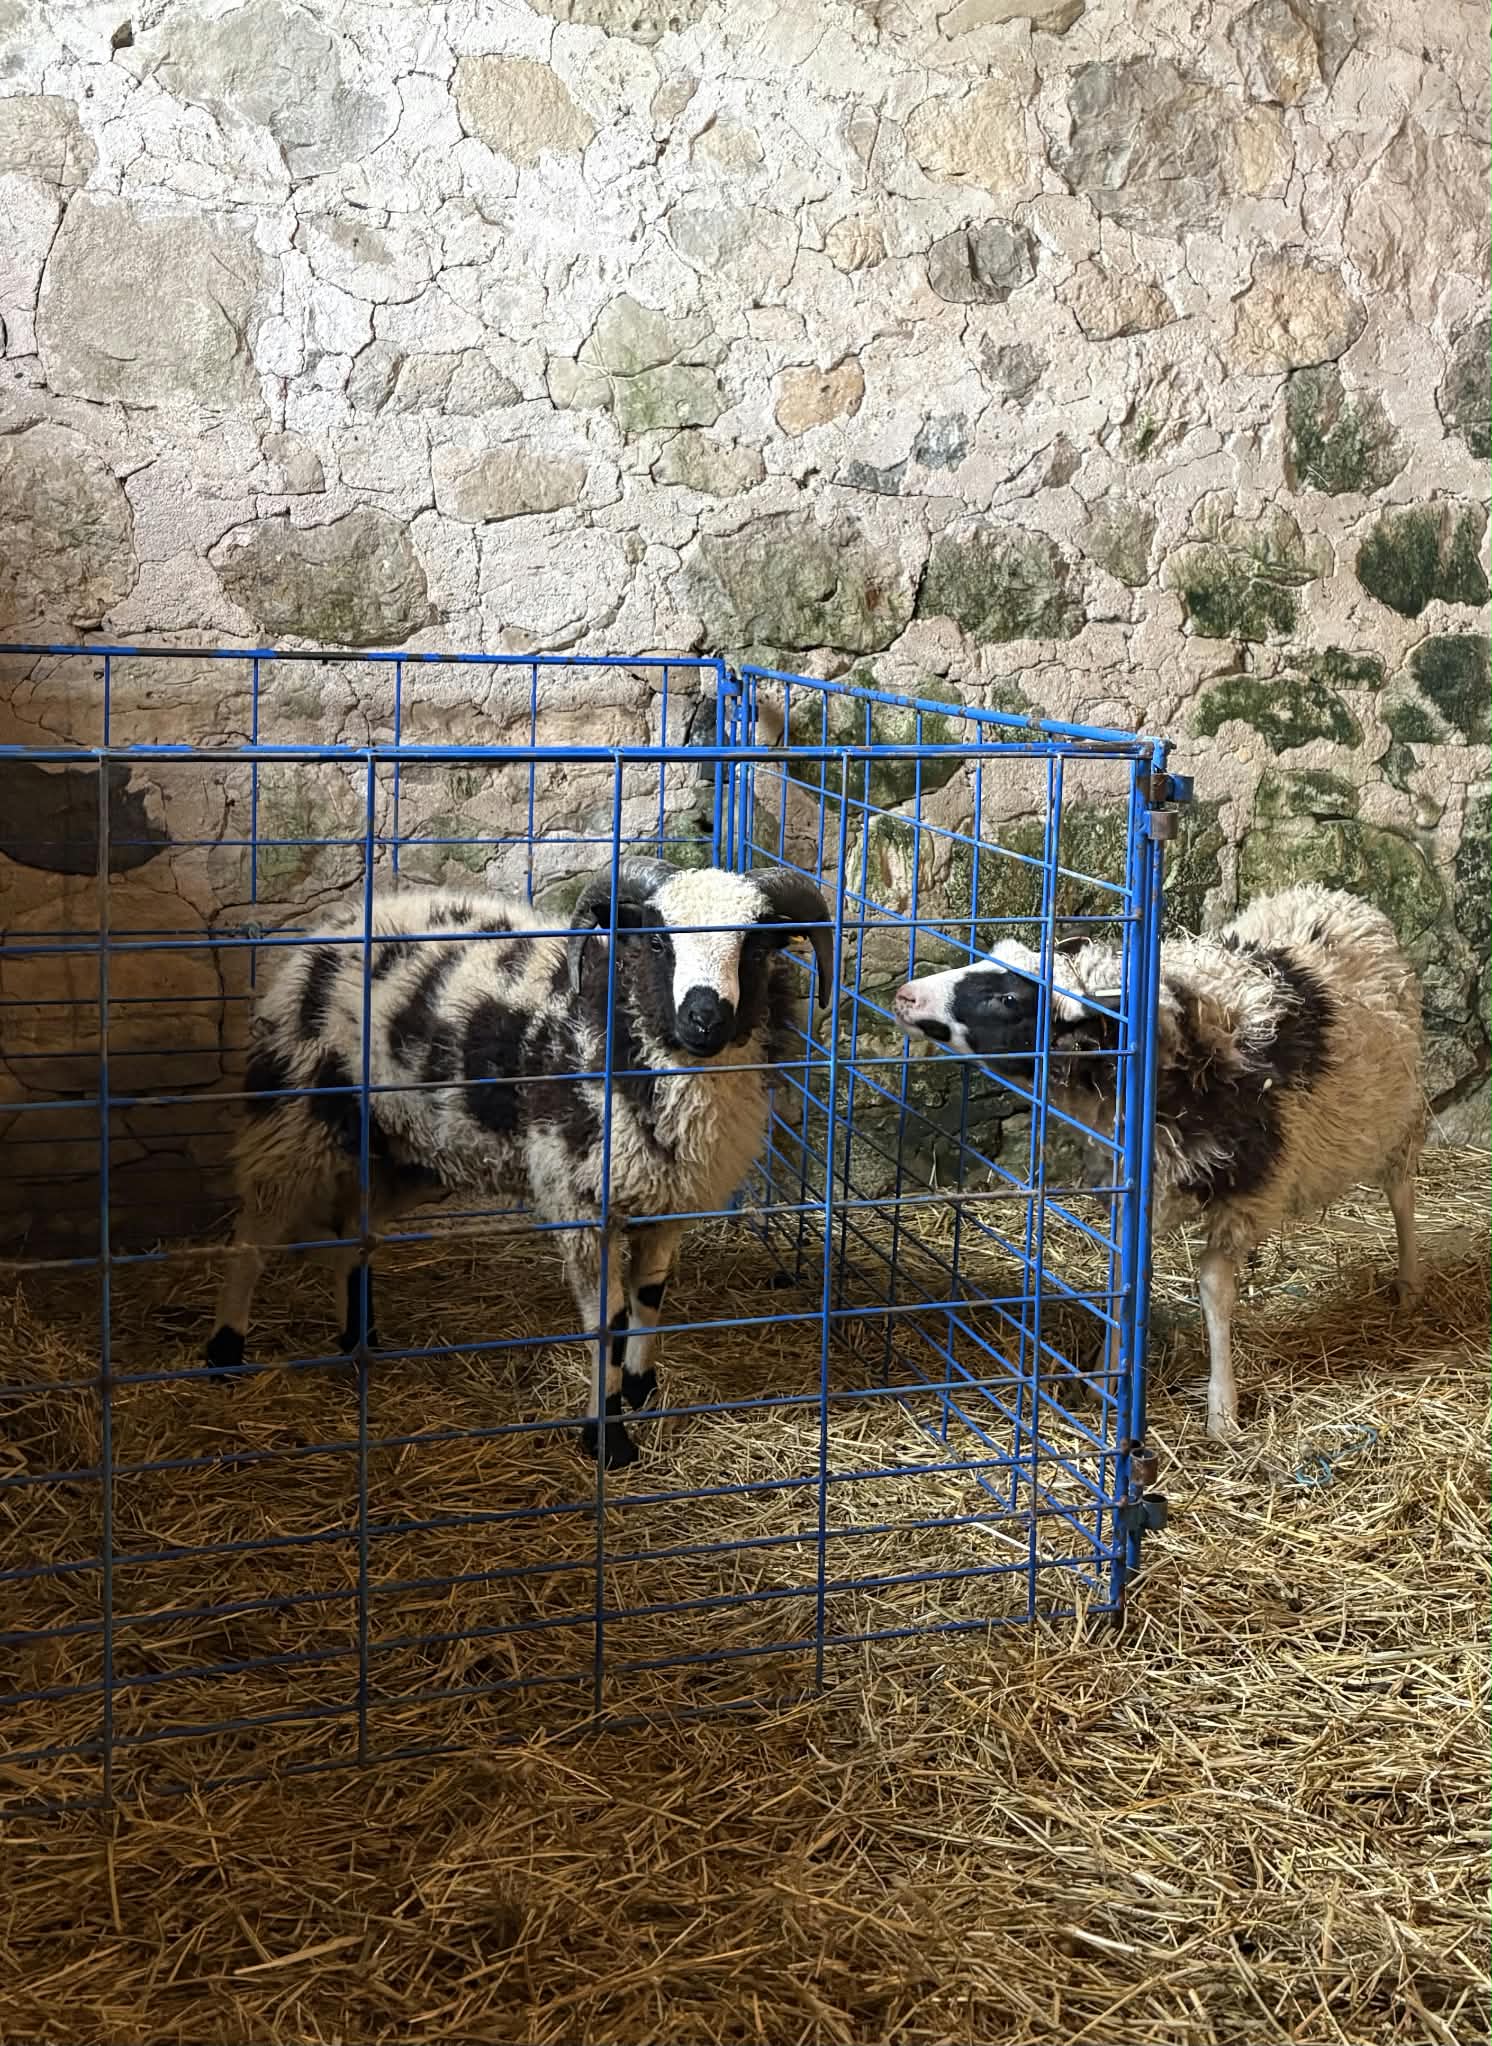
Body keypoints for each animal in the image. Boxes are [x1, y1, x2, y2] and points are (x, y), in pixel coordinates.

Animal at [205, 858, 835, 1468]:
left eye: (756, 948)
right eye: (658, 942)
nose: (705, 1021)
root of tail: (335, 925)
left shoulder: (669, 1198)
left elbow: (650, 1297)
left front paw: (639, 1386)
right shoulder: (581, 1200)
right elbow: (608, 1321)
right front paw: (607, 1439)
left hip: (408, 1148)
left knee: (353, 1234)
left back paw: (359, 1336)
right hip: (297, 1111)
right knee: (252, 1235)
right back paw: (224, 1350)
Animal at [891, 883, 1425, 1441]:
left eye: (1009, 999)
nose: (905, 996)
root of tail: (1334, 897)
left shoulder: (1249, 1190)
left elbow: (1215, 1289)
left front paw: (1222, 1410)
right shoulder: (1134, 1181)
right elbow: (1124, 1281)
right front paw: (1104, 1378)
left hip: (1400, 1117)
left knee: (1402, 1195)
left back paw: (1410, 1283)